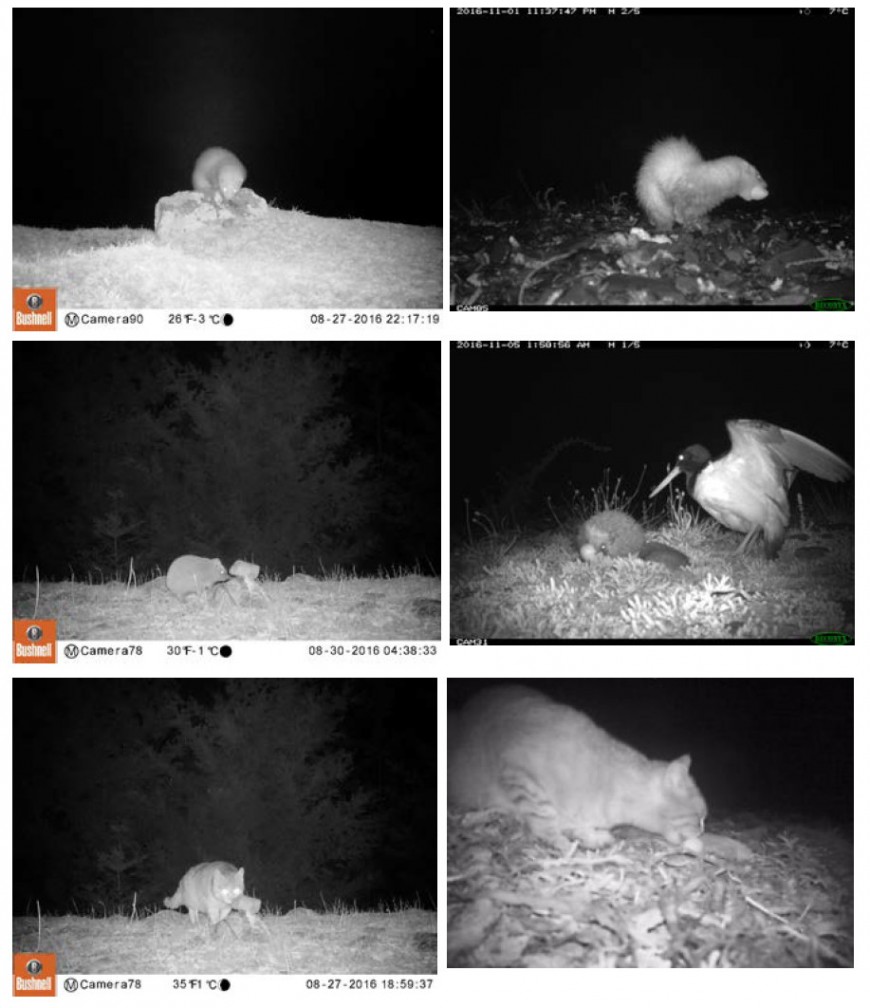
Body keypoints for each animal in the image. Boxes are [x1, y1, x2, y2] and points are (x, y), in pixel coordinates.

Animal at [449, 685, 709, 850]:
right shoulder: (517, 770)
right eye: (698, 818)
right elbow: (544, 816)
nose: (702, 832)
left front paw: (589, 835)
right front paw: (560, 842)